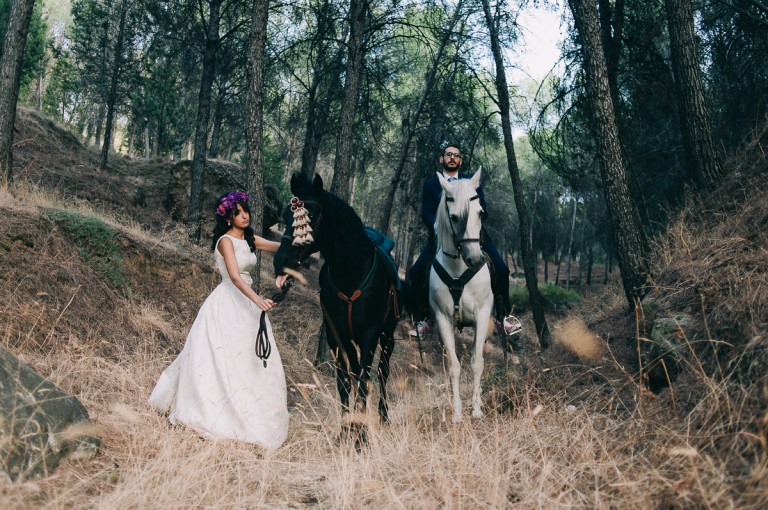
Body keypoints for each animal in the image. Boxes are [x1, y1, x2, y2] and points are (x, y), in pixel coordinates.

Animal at [272, 173, 400, 436]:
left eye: (309, 217)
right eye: (285, 216)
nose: (281, 261)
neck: (350, 273)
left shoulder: (370, 334)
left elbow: (364, 380)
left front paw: (361, 435)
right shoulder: (335, 335)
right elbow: (344, 382)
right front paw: (345, 430)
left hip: (388, 334)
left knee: (383, 373)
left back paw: (383, 416)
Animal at [428, 169, 496, 424]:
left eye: (480, 213)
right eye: (454, 217)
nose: (475, 260)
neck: (458, 269)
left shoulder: (483, 315)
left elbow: (477, 362)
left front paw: (476, 409)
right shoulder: (443, 319)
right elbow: (454, 366)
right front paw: (457, 412)